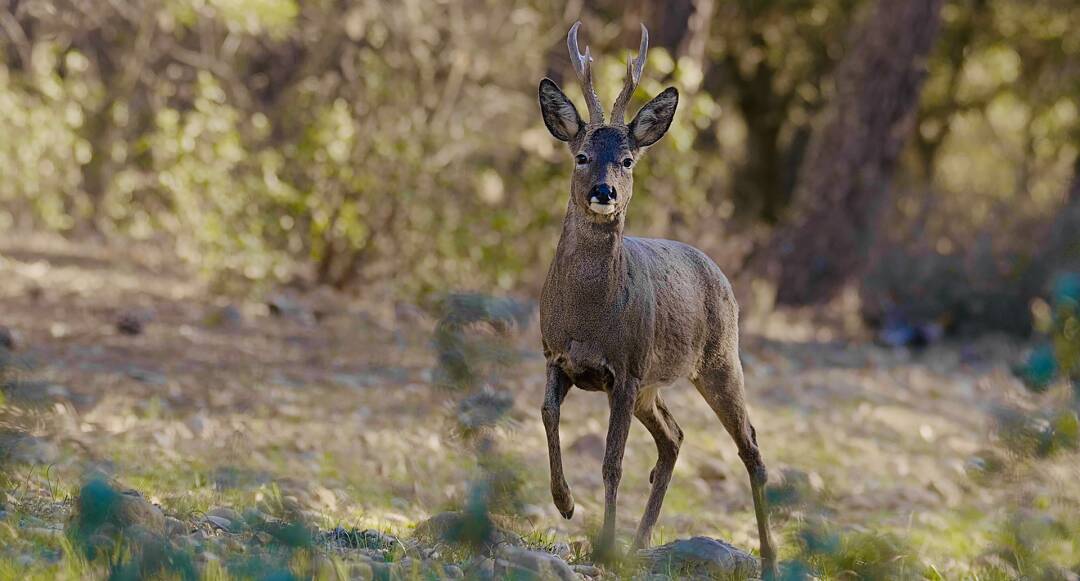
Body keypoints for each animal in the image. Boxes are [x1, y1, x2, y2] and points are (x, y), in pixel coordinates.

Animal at [540, 20, 777, 570]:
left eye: (627, 160)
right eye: (581, 155)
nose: (604, 192)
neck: (587, 316)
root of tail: (719, 273)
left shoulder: (625, 369)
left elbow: (612, 463)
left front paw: (603, 545)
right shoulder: (556, 356)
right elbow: (548, 415)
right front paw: (565, 503)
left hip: (719, 360)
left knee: (751, 448)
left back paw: (771, 560)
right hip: (657, 382)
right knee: (674, 438)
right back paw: (641, 540)